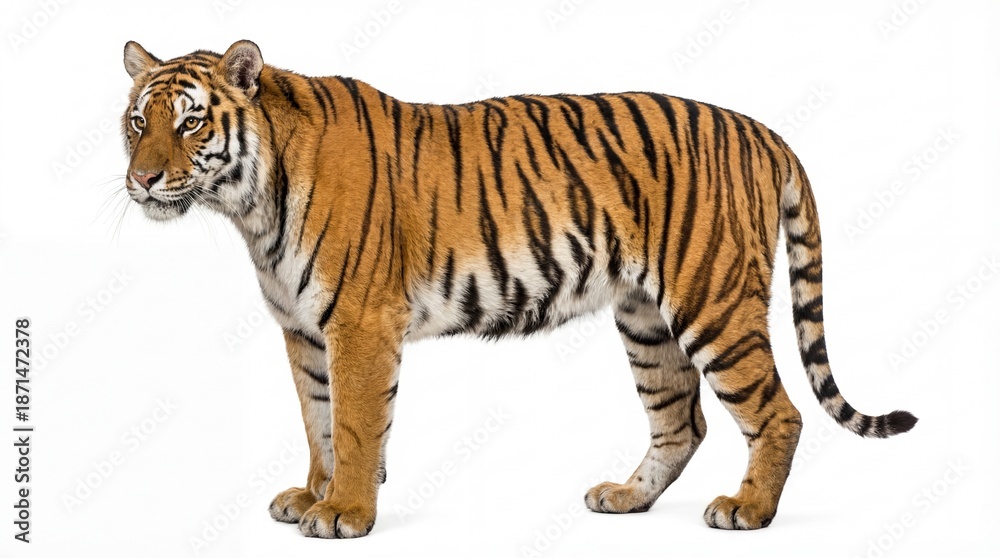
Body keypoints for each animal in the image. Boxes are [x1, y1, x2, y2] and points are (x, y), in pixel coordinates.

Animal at [120, 39, 917, 538]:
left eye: (190, 122)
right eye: (136, 122)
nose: (143, 179)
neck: (249, 206)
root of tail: (760, 129)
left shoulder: (359, 325)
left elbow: (353, 424)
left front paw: (345, 511)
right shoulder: (303, 330)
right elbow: (317, 420)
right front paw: (313, 494)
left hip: (711, 301)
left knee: (778, 412)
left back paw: (747, 510)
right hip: (645, 319)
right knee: (681, 420)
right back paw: (626, 498)